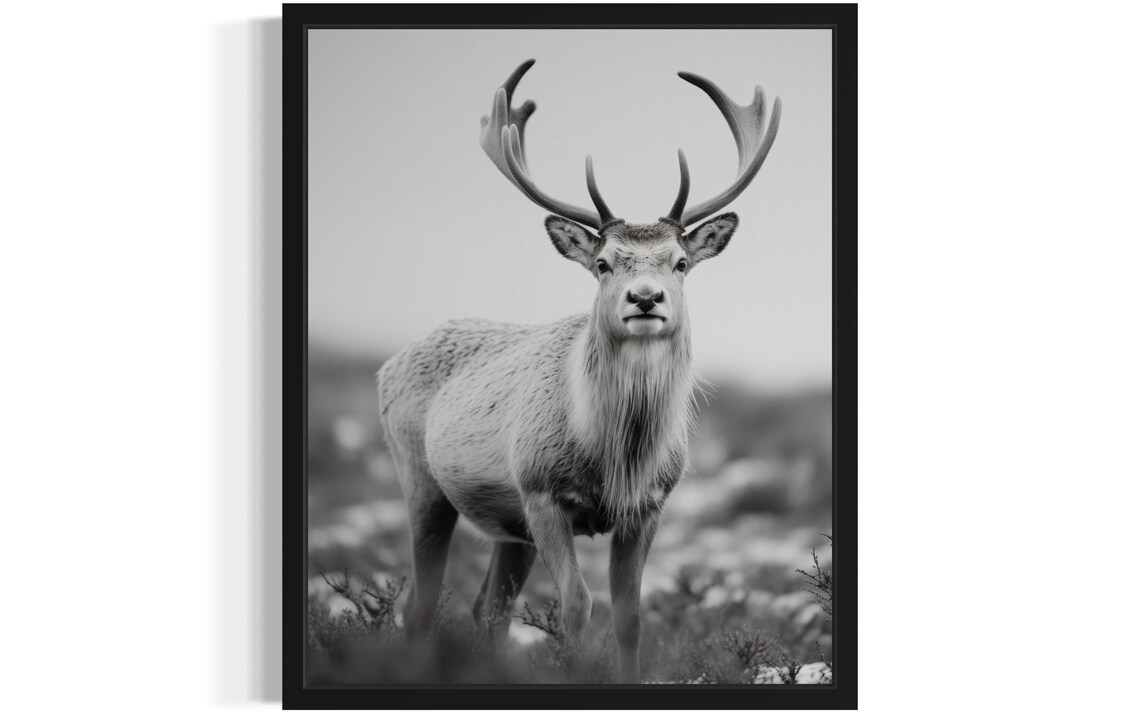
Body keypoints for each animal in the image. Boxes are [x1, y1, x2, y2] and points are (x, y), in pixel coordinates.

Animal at [376, 59, 780, 683]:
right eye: (603, 262)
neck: (615, 456)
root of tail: (389, 363)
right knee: (420, 604)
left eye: (681, 262)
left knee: (487, 607)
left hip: (508, 522)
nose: (645, 297)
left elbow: (631, 614)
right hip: (421, 477)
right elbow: (576, 608)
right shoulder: (542, 491)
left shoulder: (650, 504)